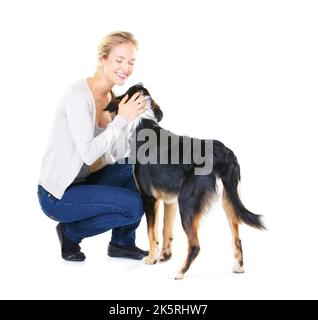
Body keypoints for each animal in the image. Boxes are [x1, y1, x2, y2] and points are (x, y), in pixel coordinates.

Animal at [105, 84, 264, 278]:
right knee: (237, 238)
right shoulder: (169, 201)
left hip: (187, 202)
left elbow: (152, 232)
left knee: (195, 245)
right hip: (229, 200)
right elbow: (165, 230)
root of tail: (221, 152)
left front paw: (152, 259)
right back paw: (238, 267)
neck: (142, 123)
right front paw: (164, 255)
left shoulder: (149, 198)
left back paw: (180, 272)